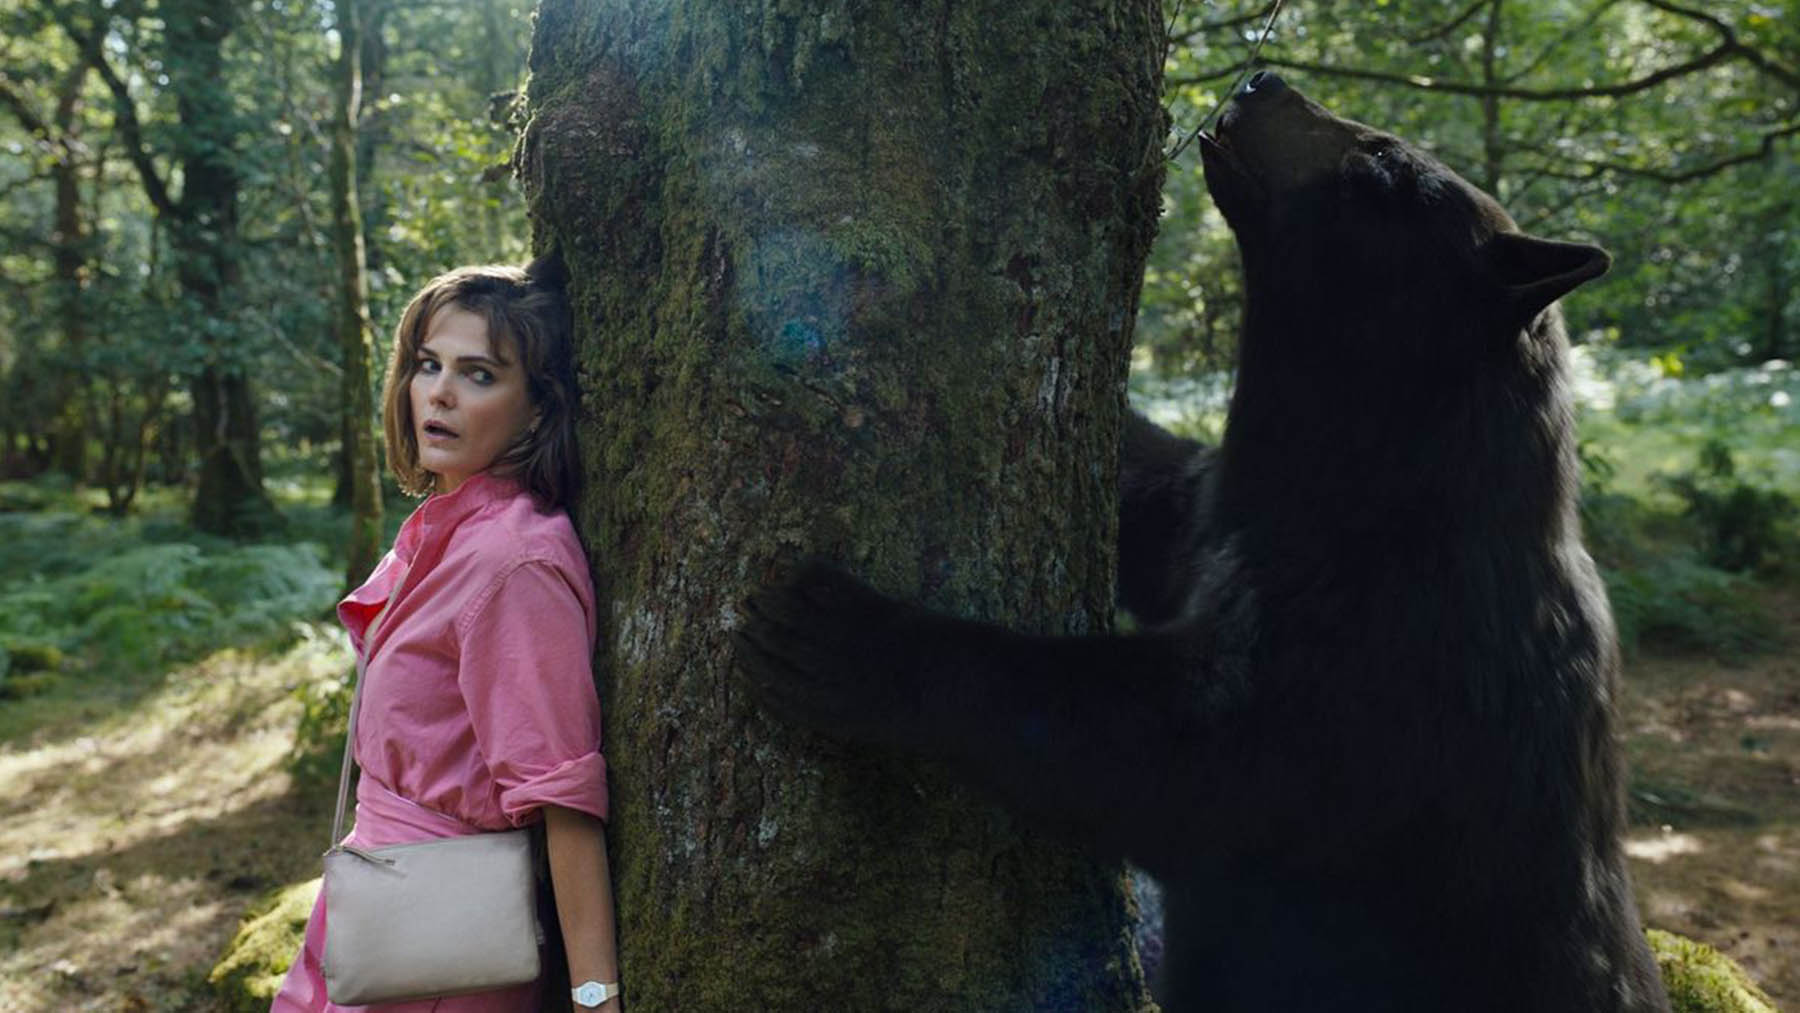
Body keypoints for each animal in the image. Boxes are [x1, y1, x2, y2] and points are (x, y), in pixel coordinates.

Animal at [733, 72, 1670, 1013]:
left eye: (1382, 163)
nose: (1263, 79)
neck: (1367, 486)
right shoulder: (1222, 512)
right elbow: (1153, 496)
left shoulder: (1393, 665)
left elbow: (1181, 761)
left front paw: (848, 637)